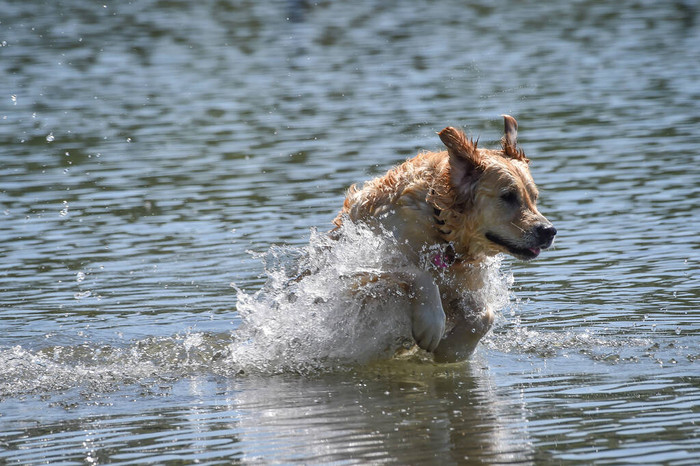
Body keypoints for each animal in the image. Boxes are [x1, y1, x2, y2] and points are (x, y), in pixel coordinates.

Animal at [330, 114, 556, 362]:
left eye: (534, 197)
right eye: (508, 196)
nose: (549, 231)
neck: (440, 224)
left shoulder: (465, 282)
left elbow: (485, 316)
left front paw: (453, 349)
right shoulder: (354, 270)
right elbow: (416, 274)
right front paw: (432, 326)